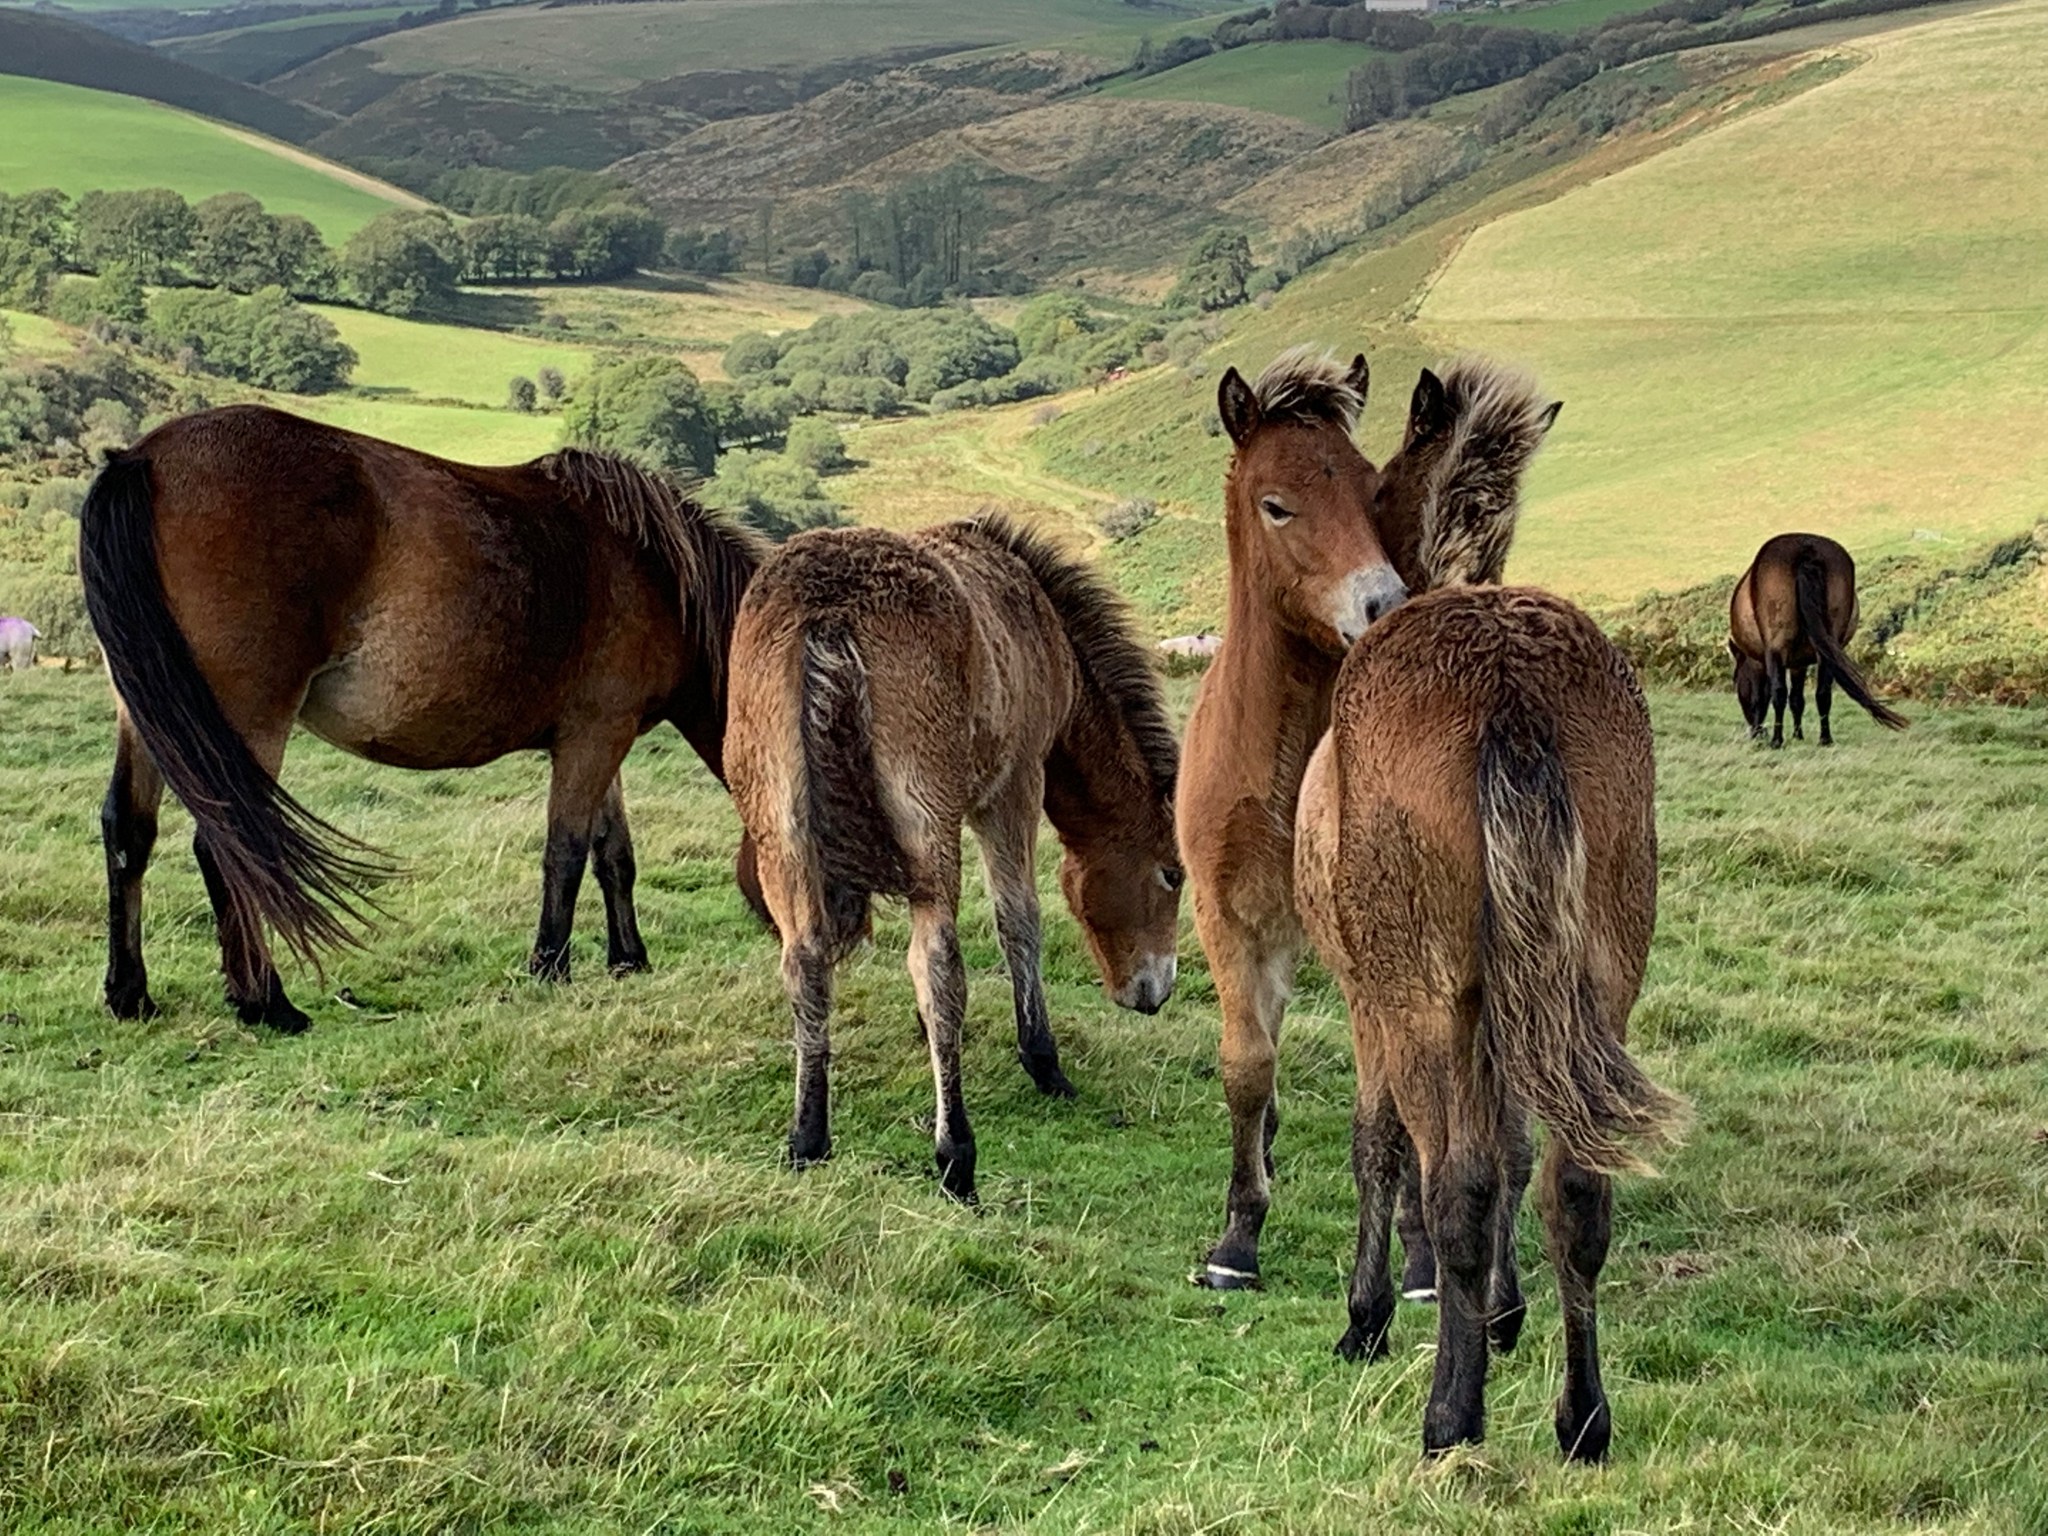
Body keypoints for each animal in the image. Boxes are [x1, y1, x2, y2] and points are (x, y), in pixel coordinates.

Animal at [78, 404, 763, 1032]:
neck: (656, 574)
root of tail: (143, 459)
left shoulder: (598, 740)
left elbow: (612, 853)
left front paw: (628, 959)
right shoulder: (595, 735)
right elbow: (565, 853)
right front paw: (550, 967)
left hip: (150, 714)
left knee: (129, 831)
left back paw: (131, 996)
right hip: (244, 724)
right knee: (230, 847)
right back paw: (268, 1004)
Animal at [725, 514, 1182, 1203]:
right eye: (1173, 875)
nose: (1155, 993)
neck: (1038, 620)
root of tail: (828, 611)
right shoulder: (1013, 787)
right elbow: (1019, 920)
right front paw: (1042, 1061)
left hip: (782, 831)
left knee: (803, 961)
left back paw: (808, 1139)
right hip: (925, 825)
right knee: (938, 963)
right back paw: (955, 1154)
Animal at [1177, 347, 1428, 1293]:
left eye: (1372, 489)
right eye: (1276, 503)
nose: (1384, 604)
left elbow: (1393, 1095)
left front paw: (1418, 1253)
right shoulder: (1227, 915)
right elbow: (1246, 1066)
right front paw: (1237, 1240)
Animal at [1295, 360, 1685, 1461]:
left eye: (1372, 482)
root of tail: (1508, 685)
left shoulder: (1371, 1000)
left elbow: (1380, 1145)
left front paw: (1367, 1316)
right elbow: (1517, 1150)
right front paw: (1506, 1319)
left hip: (1427, 996)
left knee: (1456, 1186)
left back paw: (1449, 1415)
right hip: (1596, 983)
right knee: (1577, 1190)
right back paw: (1582, 1417)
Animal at [1730, 532, 1906, 746]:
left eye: (1736, 681)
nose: (1753, 732)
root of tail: (1806, 550)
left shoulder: (1761, 662)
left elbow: (1762, 695)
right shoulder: (1799, 664)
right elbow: (1797, 699)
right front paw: (1798, 735)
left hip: (1777, 648)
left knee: (1779, 692)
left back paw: (1777, 740)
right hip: (1827, 652)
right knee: (1823, 693)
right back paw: (1825, 738)